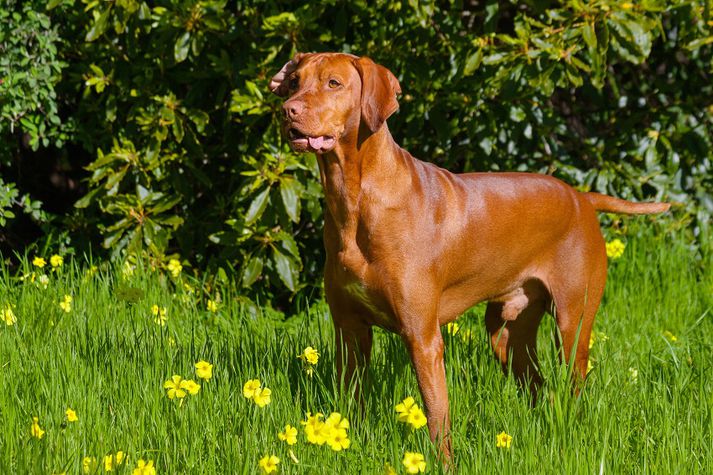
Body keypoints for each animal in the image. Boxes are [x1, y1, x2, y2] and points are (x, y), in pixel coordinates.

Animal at [268, 53, 668, 458]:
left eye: (334, 83)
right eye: (295, 82)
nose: (288, 110)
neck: (355, 201)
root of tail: (582, 198)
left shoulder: (423, 337)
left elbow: (436, 415)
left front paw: (440, 462)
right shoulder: (349, 329)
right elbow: (352, 402)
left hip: (573, 323)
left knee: (574, 384)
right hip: (507, 334)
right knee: (538, 385)